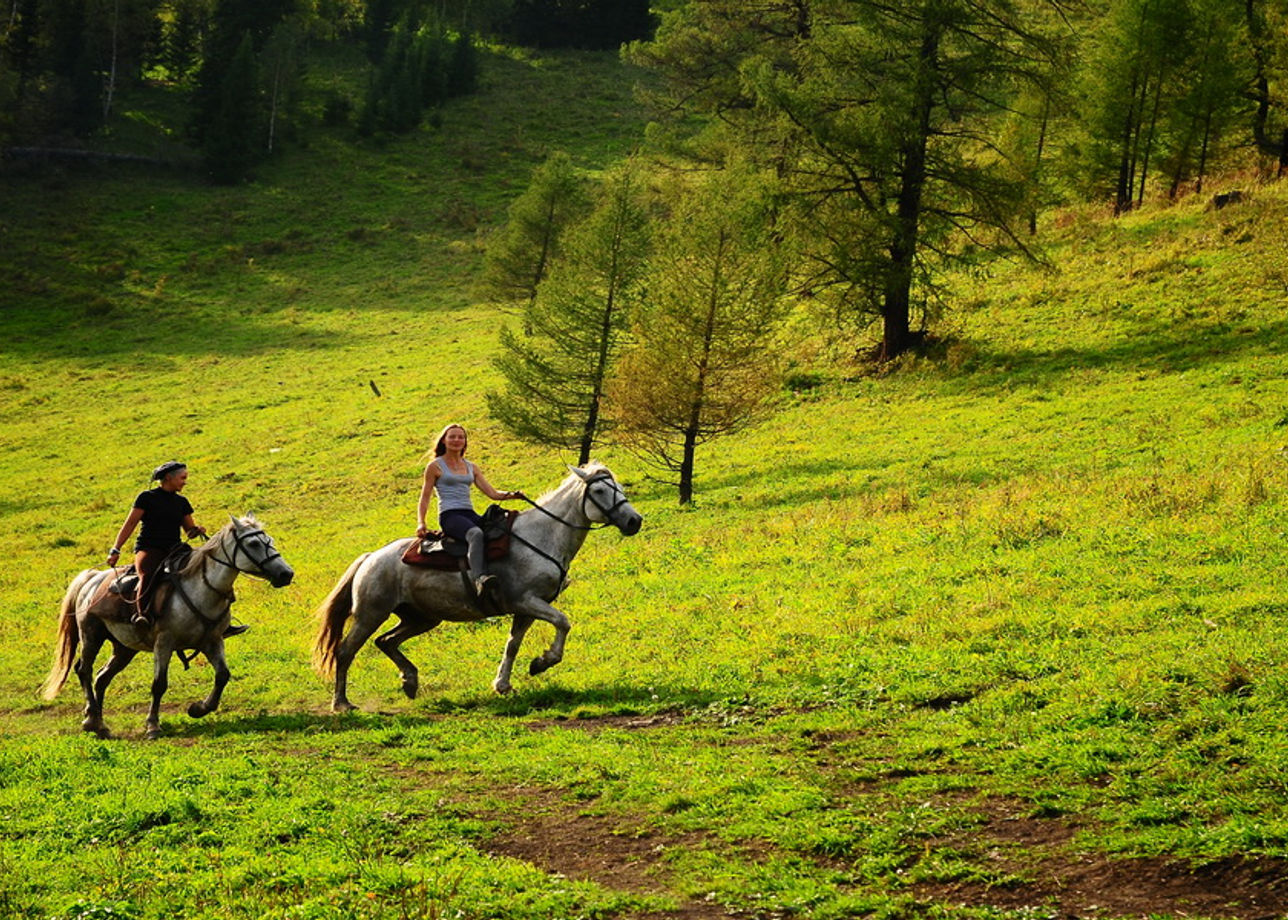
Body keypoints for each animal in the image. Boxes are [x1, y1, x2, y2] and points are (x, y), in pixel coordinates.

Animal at [42, 515, 294, 737]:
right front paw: (153, 726)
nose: (286, 574)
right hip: (91, 634)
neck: (201, 589)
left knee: (102, 677)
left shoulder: (212, 641)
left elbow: (223, 675)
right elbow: (159, 684)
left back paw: (98, 723)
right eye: (253, 543)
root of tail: (91, 578)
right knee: (84, 670)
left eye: (269, 540)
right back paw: (92, 719)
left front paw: (199, 709)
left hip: (125, 648)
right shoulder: (164, 642)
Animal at [312, 466, 644, 711]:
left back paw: (409, 681)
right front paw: (542, 663)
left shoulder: (527, 609)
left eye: (620, 488)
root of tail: (371, 558)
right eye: (599, 491)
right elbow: (563, 622)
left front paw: (504, 684)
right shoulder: (526, 601)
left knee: (386, 641)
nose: (634, 521)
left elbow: (513, 645)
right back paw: (342, 703)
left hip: (422, 618)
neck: (541, 536)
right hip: (371, 614)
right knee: (345, 651)